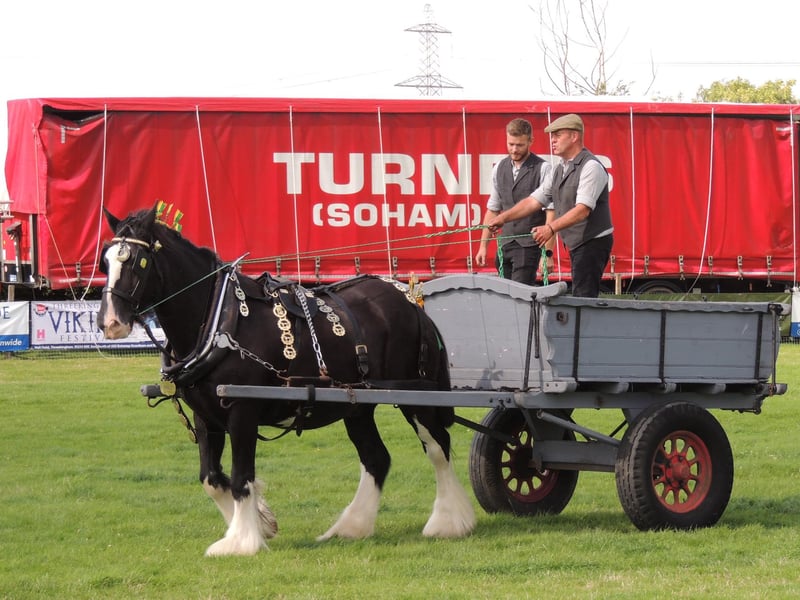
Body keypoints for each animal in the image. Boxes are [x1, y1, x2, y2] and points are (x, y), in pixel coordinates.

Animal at [97, 205, 476, 556]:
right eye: (105, 264)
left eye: (137, 262)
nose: (110, 323)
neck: (221, 321)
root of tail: (409, 299)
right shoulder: (205, 416)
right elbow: (211, 479)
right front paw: (261, 523)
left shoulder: (242, 411)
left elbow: (240, 477)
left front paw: (242, 541)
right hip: (356, 405)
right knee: (376, 458)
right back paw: (350, 527)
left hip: (415, 393)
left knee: (437, 447)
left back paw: (448, 522)